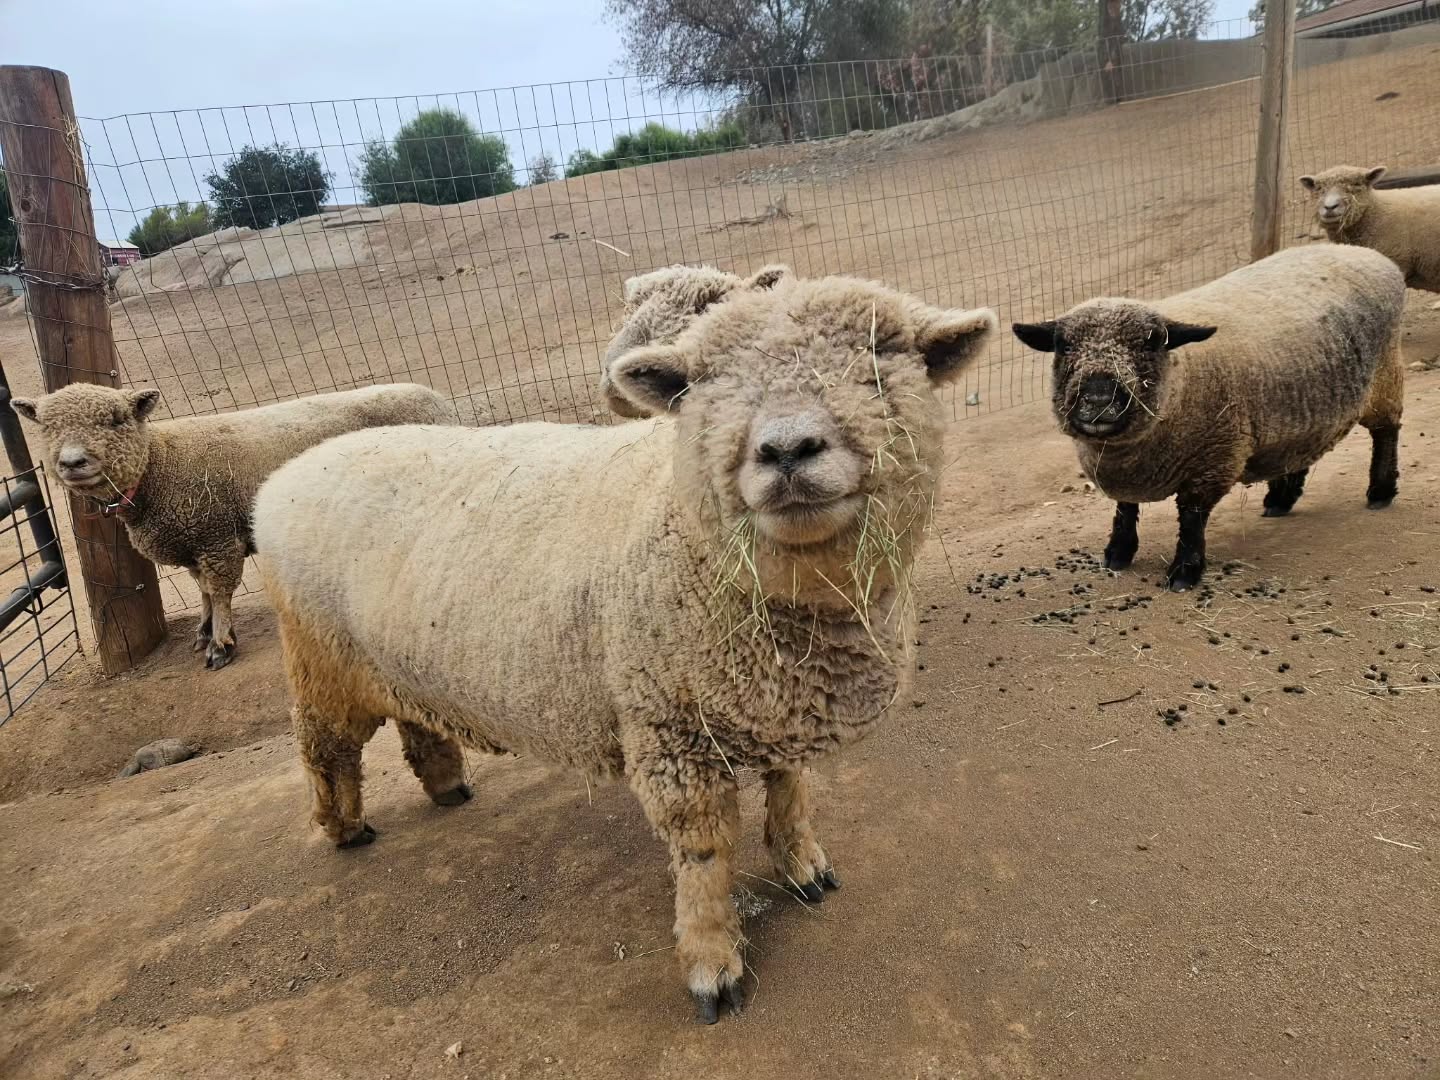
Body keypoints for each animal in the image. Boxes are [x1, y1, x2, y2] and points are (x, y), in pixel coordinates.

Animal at [11, 383, 455, 669]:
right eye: (45, 427)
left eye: (118, 420)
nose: (72, 462)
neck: (159, 463)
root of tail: (440, 402)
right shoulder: (193, 541)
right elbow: (204, 591)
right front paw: (205, 630)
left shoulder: (217, 537)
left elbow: (221, 591)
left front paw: (221, 644)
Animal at [1011, 244, 1405, 592]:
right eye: (1063, 345)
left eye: (1150, 343)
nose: (1097, 400)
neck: (1182, 376)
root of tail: (1365, 252)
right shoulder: (1130, 472)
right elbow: (1125, 508)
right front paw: (1119, 552)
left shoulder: (1213, 460)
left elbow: (1191, 518)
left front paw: (1185, 572)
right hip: (1303, 404)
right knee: (1299, 449)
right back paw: (1281, 498)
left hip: (1386, 376)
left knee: (1386, 432)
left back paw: (1380, 491)